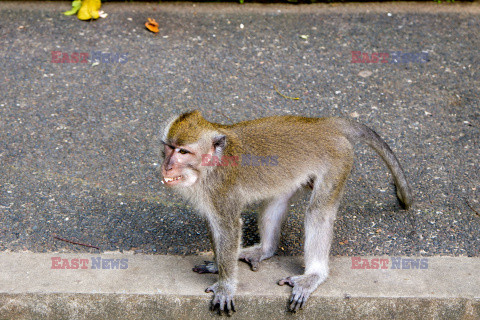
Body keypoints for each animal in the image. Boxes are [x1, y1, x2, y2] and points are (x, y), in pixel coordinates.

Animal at [160, 110, 412, 316]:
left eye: (183, 151)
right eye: (169, 147)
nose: (167, 166)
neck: (210, 166)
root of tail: (323, 123)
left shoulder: (221, 189)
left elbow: (228, 227)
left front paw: (225, 286)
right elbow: (216, 226)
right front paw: (217, 264)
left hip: (338, 160)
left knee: (318, 212)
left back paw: (314, 275)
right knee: (276, 201)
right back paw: (265, 249)